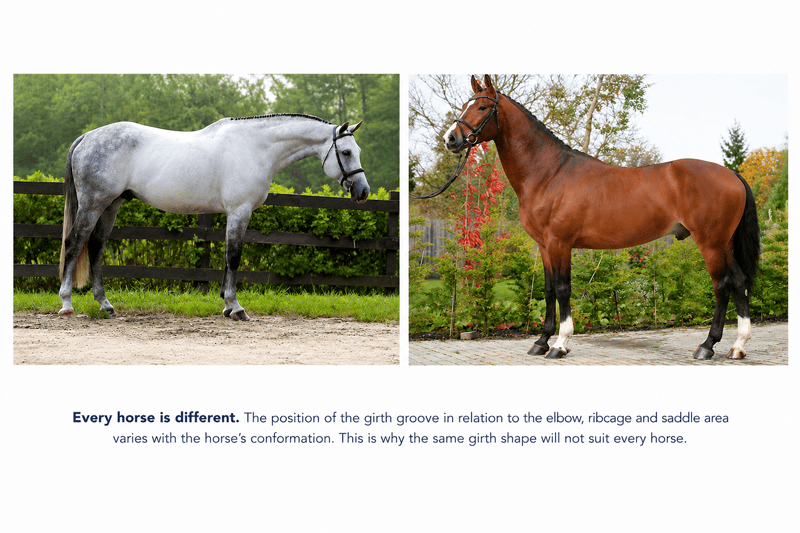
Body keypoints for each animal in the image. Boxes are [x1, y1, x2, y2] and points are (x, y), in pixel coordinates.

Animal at [58, 113, 369, 321]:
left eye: (358, 151)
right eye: (345, 152)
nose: (363, 191)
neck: (254, 147)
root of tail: (87, 137)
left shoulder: (232, 213)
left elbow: (227, 257)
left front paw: (226, 305)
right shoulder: (239, 211)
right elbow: (234, 255)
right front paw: (236, 307)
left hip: (111, 205)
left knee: (96, 248)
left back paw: (105, 304)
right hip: (93, 204)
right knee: (74, 244)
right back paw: (67, 304)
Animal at [441, 75, 760, 360]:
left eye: (483, 107)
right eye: (465, 105)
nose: (450, 139)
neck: (549, 173)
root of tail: (732, 175)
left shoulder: (560, 243)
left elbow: (563, 289)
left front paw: (560, 344)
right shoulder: (544, 246)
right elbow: (548, 290)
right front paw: (541, 341)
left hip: (710, 243)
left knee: (722, 286)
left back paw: (707, 346)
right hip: (724, 243)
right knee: (740, 282)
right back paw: (738, 347)